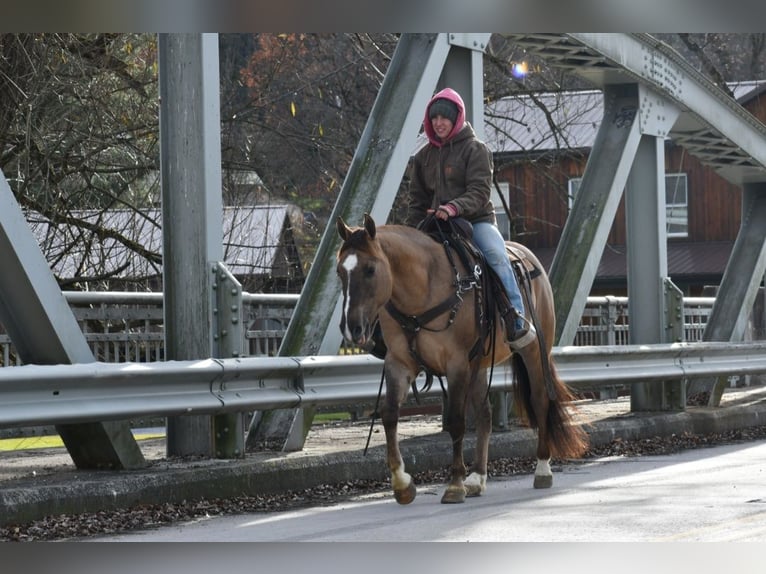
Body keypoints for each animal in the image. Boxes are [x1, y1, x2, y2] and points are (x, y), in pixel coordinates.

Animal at [336, 215, 588, 504]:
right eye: (339, 272)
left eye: (370, 269)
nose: (351, 328)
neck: (424, 290)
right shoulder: (399, 363)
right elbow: (389, 415)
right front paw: (402, 484)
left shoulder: (456, 364)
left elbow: (456, 422)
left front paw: (455, 484)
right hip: (478, 364)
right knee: (485, 415)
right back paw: (478, 478)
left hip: (534, 351)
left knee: (539, 400)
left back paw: (543, 469)